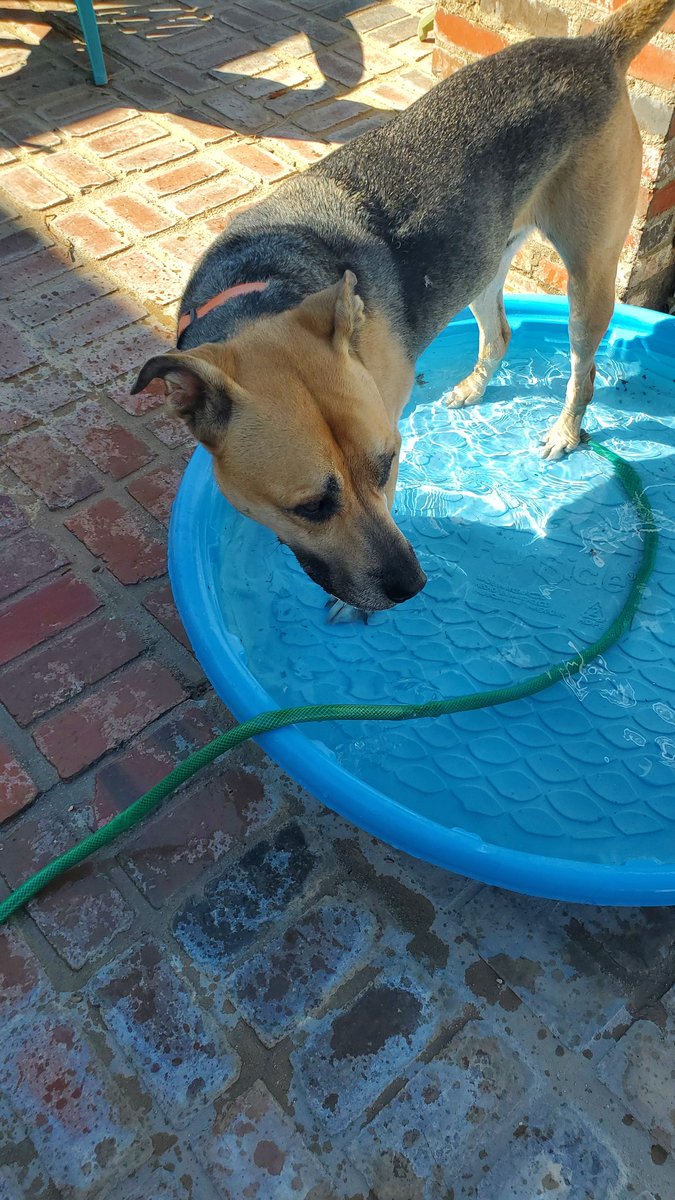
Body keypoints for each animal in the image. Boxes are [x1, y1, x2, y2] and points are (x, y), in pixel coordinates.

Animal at [132, 0, 672, 619]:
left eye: (387, 465)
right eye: (310, 508)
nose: (413, 586)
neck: (263, 287)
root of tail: (592, 47)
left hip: (589, 275)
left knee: (583, 370)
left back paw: (565, 430)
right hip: (482, 260)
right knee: (501, 332)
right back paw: (474, 386)